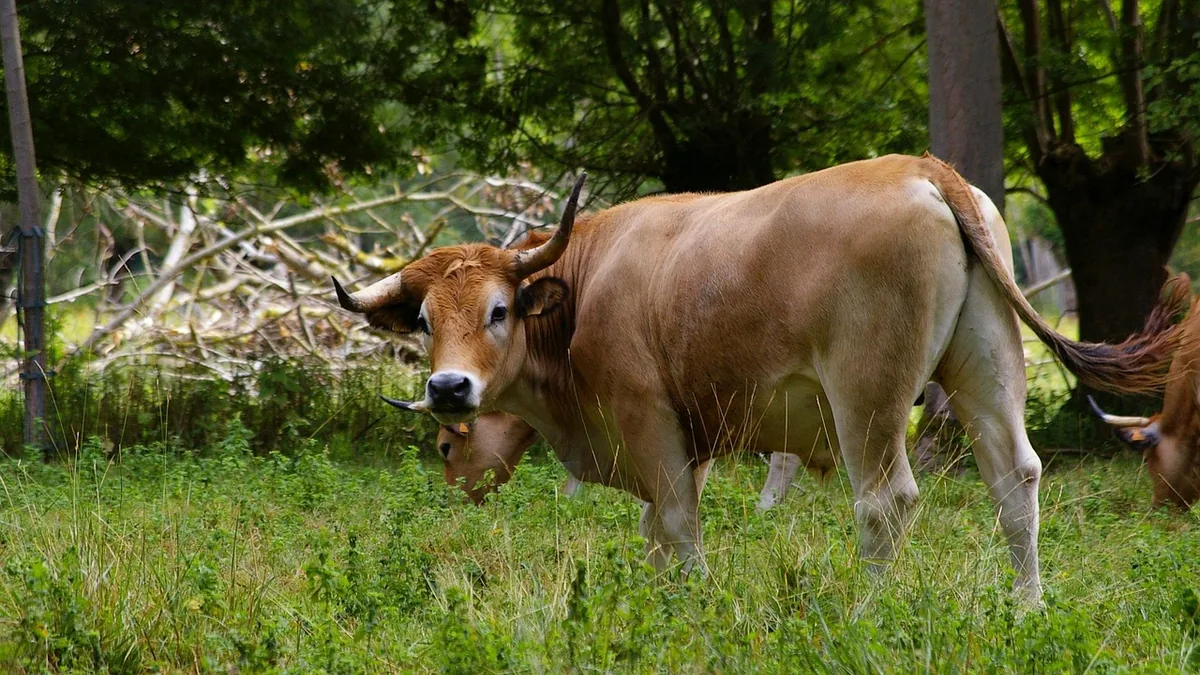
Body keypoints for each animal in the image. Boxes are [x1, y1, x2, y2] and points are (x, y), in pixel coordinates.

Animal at [337, 154, 1184, 605]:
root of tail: (920, 167)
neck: (585, 282)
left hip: (867, 396)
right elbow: (656, 529)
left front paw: (694, 605)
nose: (449, 390)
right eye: (424, 320)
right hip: (987, 366)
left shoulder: (649, 421)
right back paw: (1027, 608)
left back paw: (866, 613)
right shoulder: (690, 438)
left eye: (499, 308)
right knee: (1016, 479)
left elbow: (679, 524)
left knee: (886, 502)